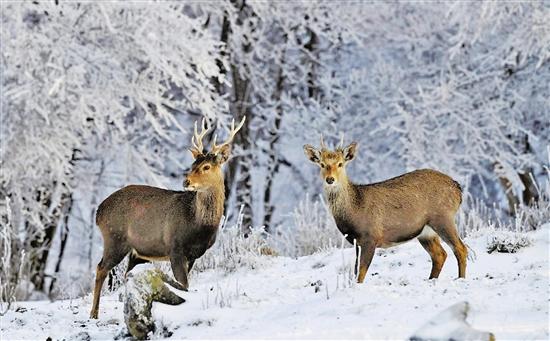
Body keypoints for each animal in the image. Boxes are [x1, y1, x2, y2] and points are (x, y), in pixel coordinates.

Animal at [90, 115, 246, 318]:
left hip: (135, 252)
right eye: (193, 165)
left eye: (206, 166)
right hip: (115, 238)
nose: (186, 181)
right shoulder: (175, 248)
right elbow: (183, 285)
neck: (198, 225)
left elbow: (185, 284)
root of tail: (98, 212)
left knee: (124, 274)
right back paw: (93, 313)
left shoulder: (193, 255)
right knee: (101, 268)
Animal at [304, 135, 468, 282]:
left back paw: (461, 278)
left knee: (460, 248)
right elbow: (355, 271)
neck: (355, 209)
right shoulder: (357, 242)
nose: (330, 179)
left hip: (443, 217)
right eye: (322, 164)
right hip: (426, 231)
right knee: (440, 255)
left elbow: (361, 273)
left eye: (340, 164)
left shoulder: (370, 237)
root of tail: (457, 188)